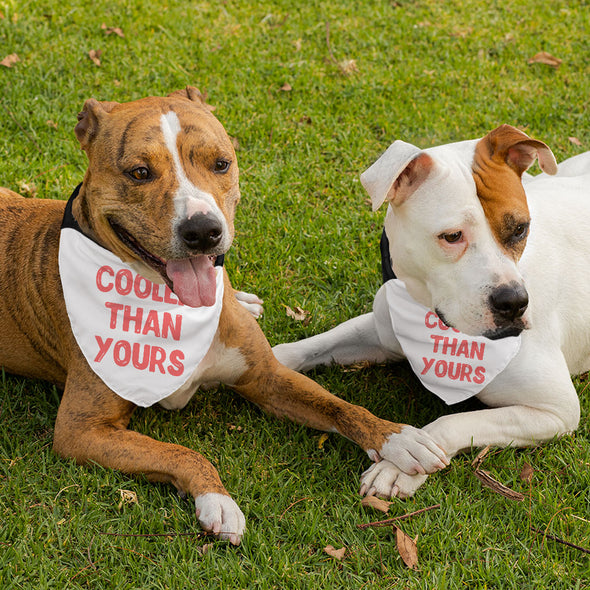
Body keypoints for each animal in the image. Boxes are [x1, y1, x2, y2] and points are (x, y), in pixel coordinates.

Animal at [276, 125, 590, 500]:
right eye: (452, 236)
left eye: (520, 229)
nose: (514, 302)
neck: (427, 312)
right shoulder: (382, 330)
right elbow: (310, 346)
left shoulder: (556, 410)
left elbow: (453, 422)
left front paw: (398, 465)